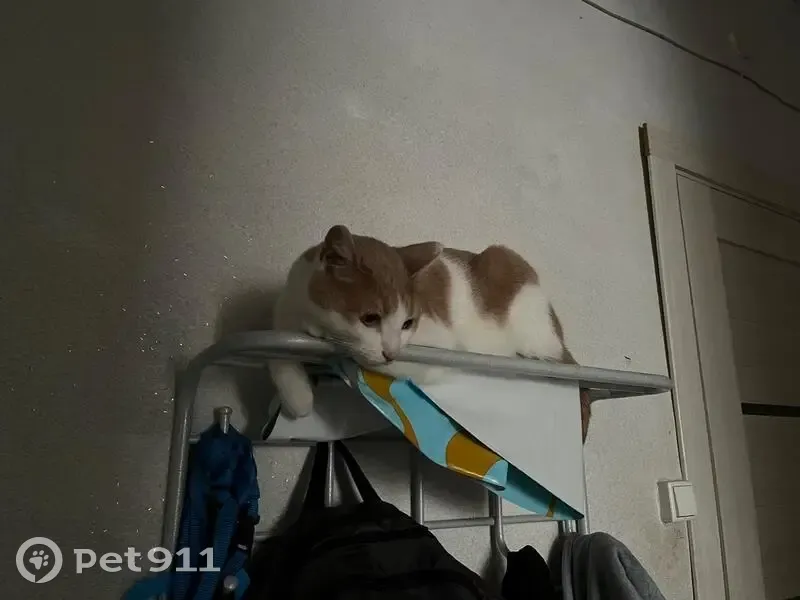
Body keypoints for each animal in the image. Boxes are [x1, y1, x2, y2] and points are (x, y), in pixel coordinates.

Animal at [267, 225, 591, 441]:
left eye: (407, 323)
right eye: (370, 318)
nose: (390, 351)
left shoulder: (435, 344)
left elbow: (369, 358)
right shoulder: (286, 307)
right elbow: (278, 351)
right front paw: (298, 396)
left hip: (527, 319)